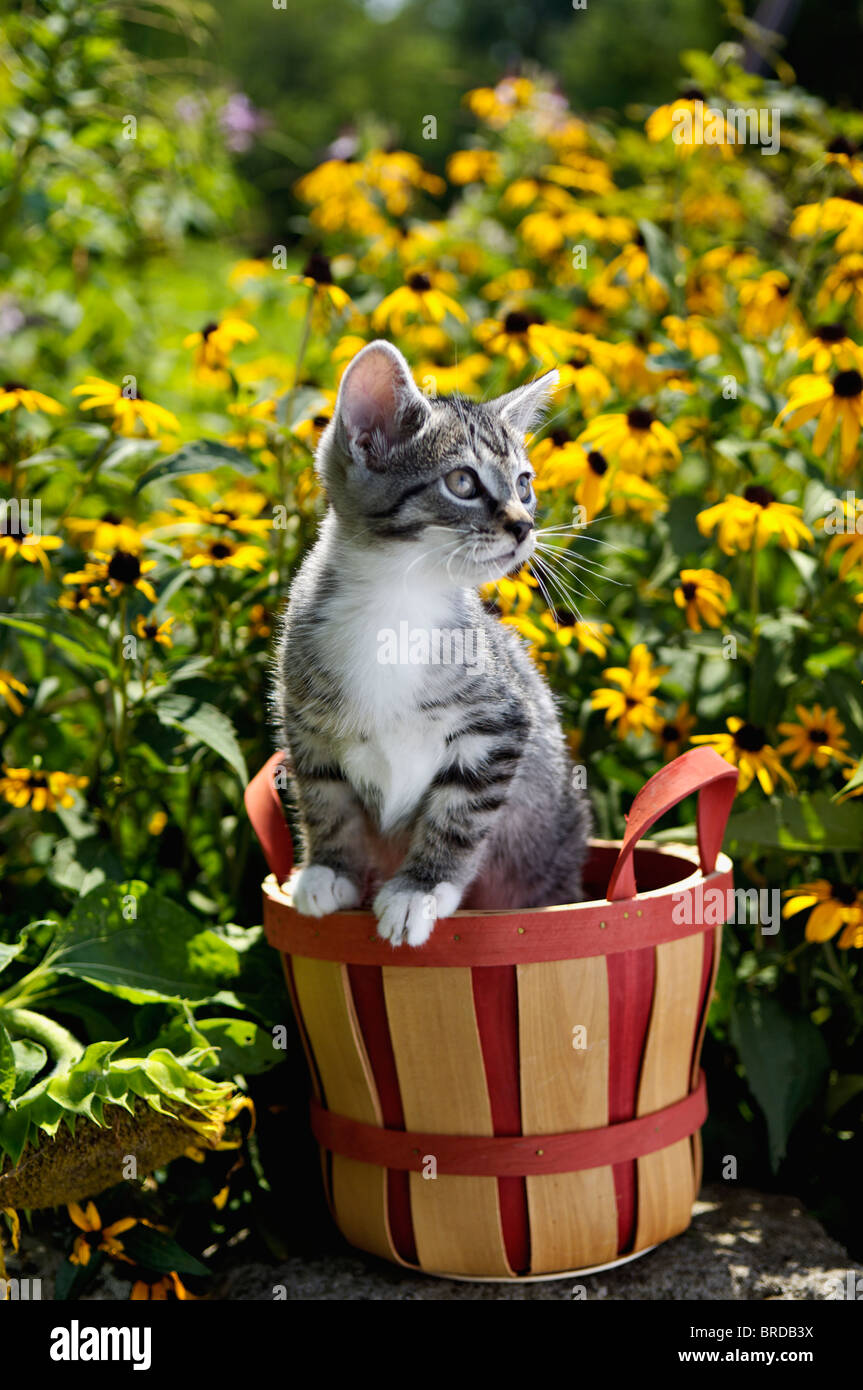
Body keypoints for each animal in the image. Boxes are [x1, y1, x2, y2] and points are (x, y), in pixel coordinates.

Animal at [272, 339, 589, 945]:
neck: (397, 606)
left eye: (524, 484)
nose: (524, 525)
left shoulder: (500, 724)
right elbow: (324, 797)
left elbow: (460, 813)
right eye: (463, 482)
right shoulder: (305, 720)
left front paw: (420, 889)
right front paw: (329, 869)